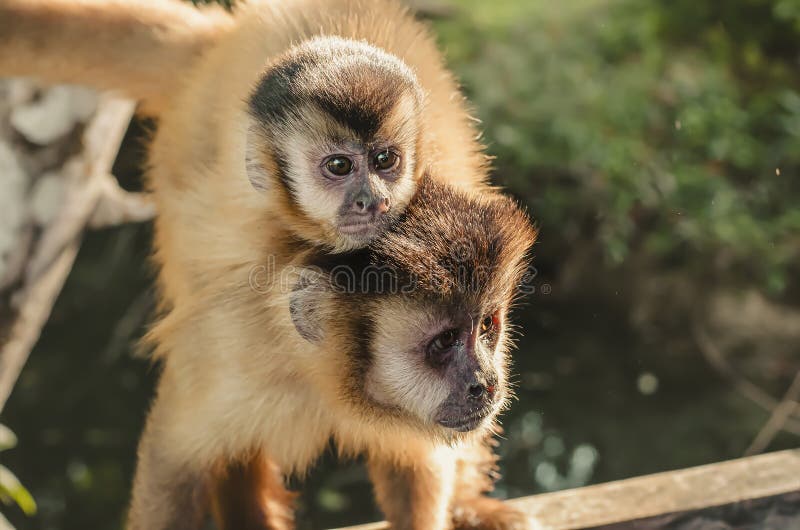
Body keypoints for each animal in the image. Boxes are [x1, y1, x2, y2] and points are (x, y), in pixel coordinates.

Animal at [134, 177, 536, 528]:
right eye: (444, 341)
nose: (485, 383)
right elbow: (174, 457)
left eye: (487, 327)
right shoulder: (233, 348)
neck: (325, 375)